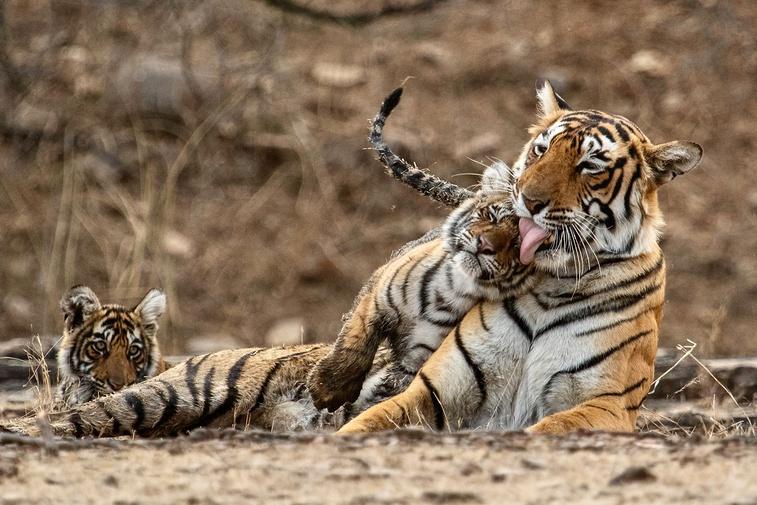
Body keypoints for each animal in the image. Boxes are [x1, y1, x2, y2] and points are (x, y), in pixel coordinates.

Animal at [337, 80, 702, 434]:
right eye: (541, 150)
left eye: (590, 166)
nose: (528, 200)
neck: (554, 284)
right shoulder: (433, 389)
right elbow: (367, 422)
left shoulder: (608, 403)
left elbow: (553, 426)